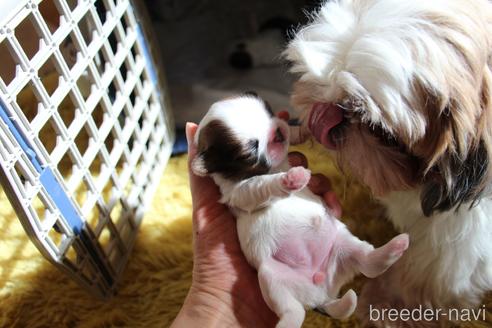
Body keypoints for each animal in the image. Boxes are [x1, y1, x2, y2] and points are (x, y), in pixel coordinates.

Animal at [192, 93, 412, 326]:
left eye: (269, 111)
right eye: (251, 151)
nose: (277, 133)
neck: (277, 166)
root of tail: (321, 295)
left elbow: (294, 133)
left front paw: (303, 128)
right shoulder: (240, 193)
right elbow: (262, 184)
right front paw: (291, 178)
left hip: (342, 242)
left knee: (367, 262)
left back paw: (396, 246)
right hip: (272, 278)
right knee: (293, 310)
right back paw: (287, 323)